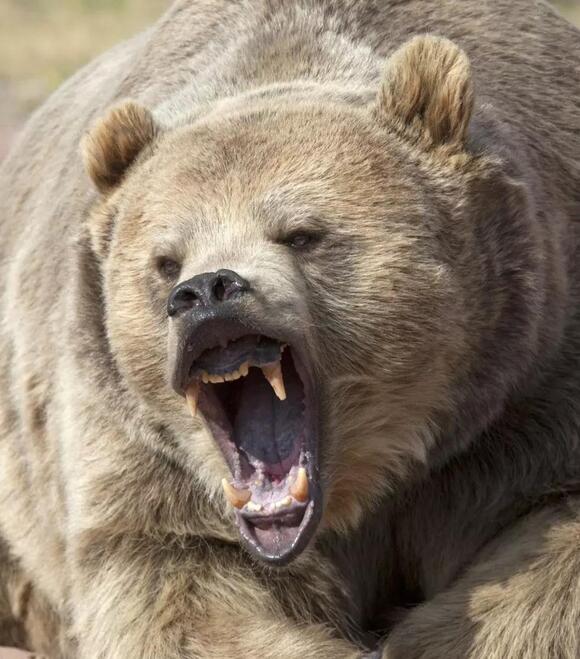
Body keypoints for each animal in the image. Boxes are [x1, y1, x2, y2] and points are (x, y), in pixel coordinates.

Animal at [0, 0, 579, 657]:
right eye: (165, 260)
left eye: (301, 233)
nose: (206, 292)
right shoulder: (138, 446)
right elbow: (175, 586)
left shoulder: (529, 381)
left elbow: (549, 546)